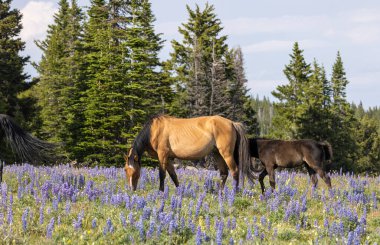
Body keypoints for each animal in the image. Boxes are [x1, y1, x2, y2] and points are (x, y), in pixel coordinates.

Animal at [124, 115, 255, 191]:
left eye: (134, 170)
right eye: (125, 170)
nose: (131, 189)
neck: (154, 130)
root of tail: (232, 123)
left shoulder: (162, 155)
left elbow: (162, 174)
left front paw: (161, 191)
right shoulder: (168, 158)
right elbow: (173, 175)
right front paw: (180, 191)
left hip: (226, 154)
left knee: (235, 171)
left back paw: (234, 192)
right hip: (217, 154)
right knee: (224, 174)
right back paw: (221, 192)